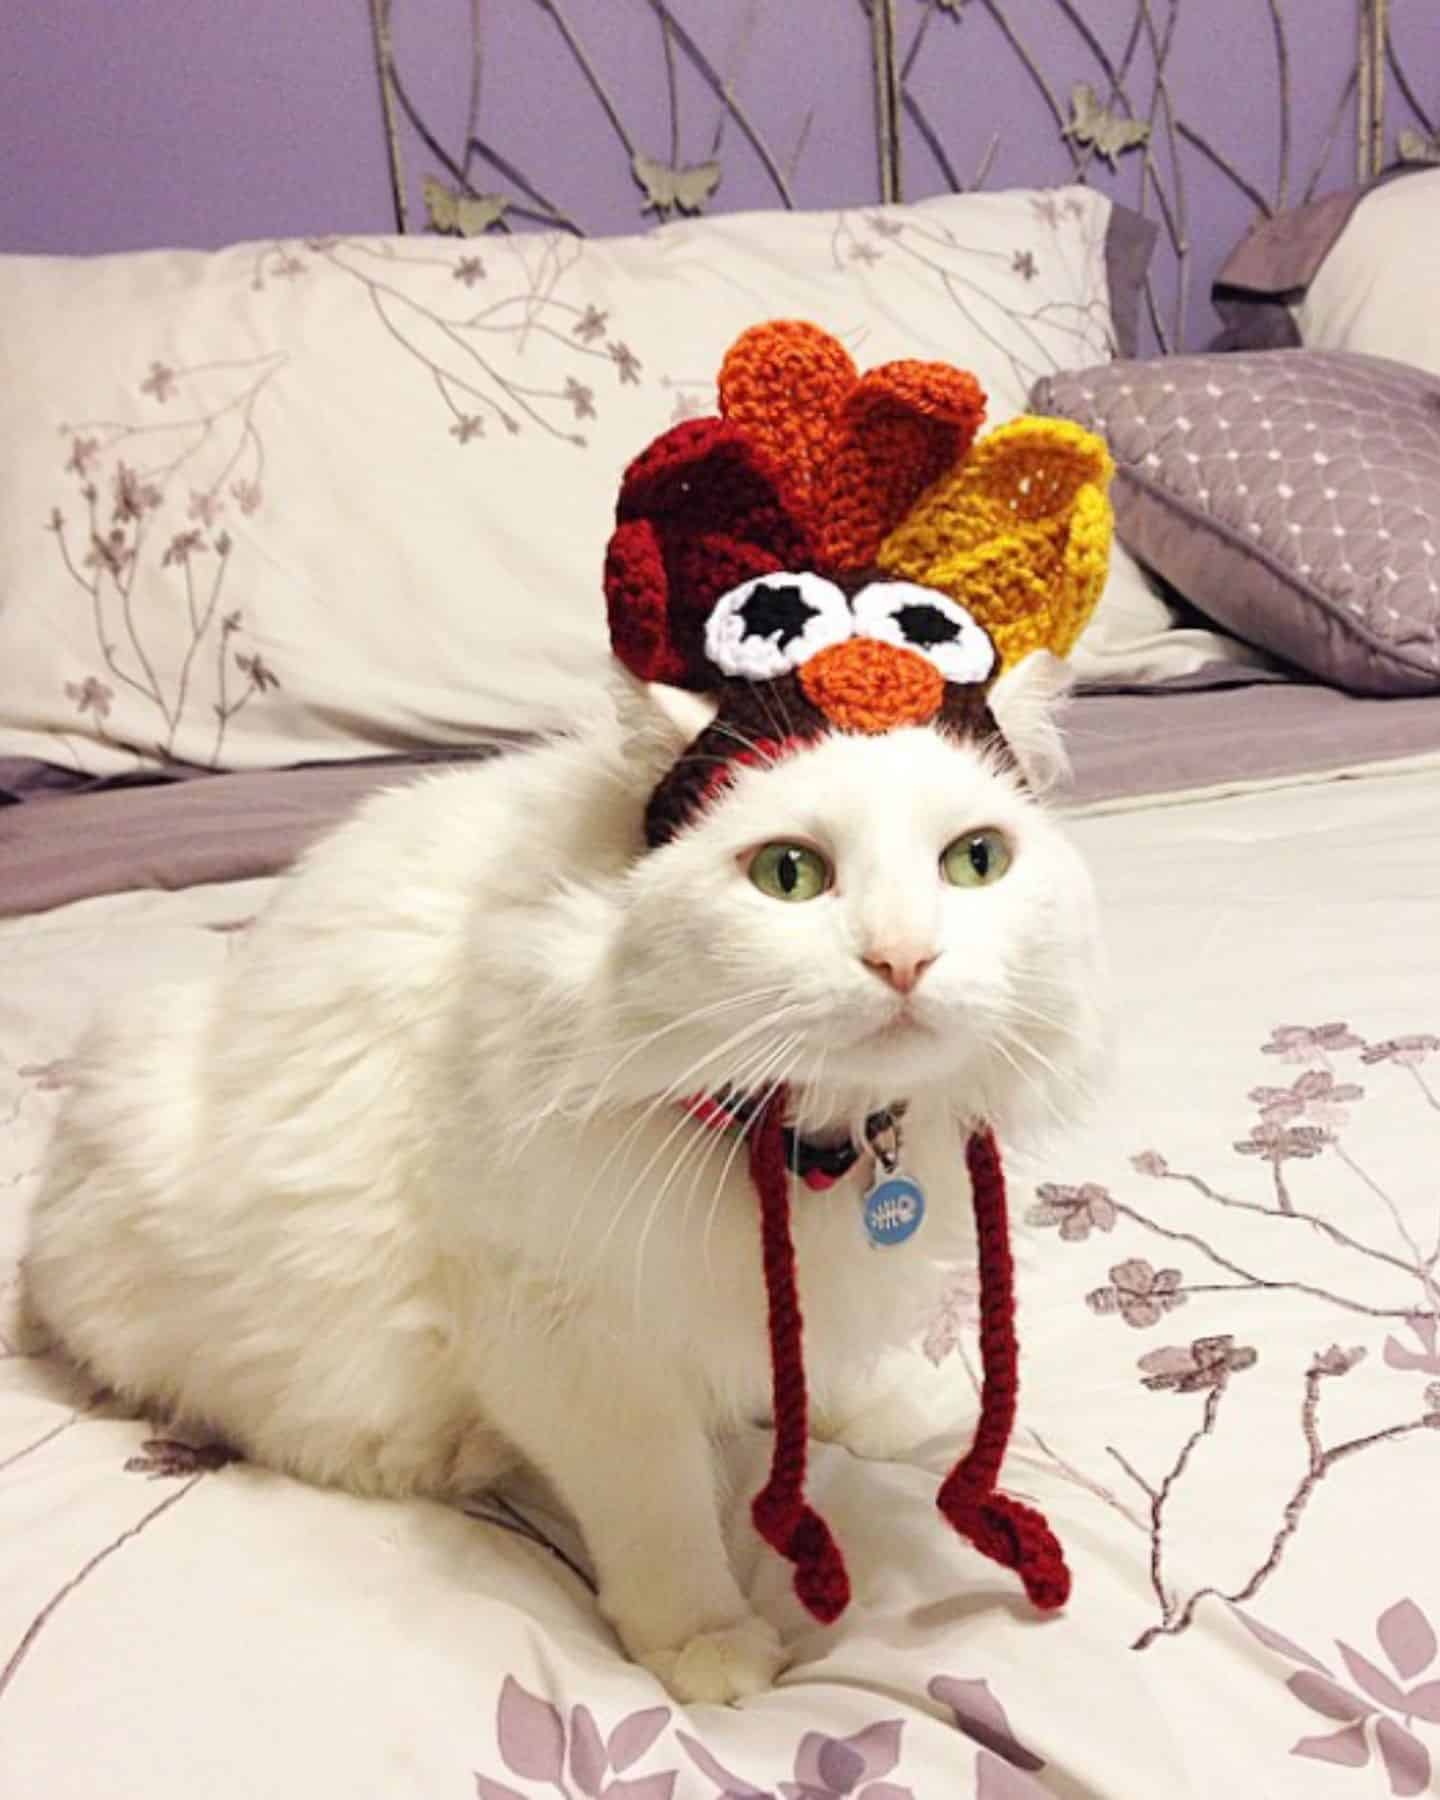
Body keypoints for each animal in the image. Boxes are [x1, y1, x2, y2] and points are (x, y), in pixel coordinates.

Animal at [22, 662, 1101, 1699]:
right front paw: (703, 1640)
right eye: (788, 875)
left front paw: (876, 1412)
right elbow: (659, 1504)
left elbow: (825, 1361)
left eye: (975, 861)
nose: (905, 959)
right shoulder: (569, 1335)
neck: (803, 1143)